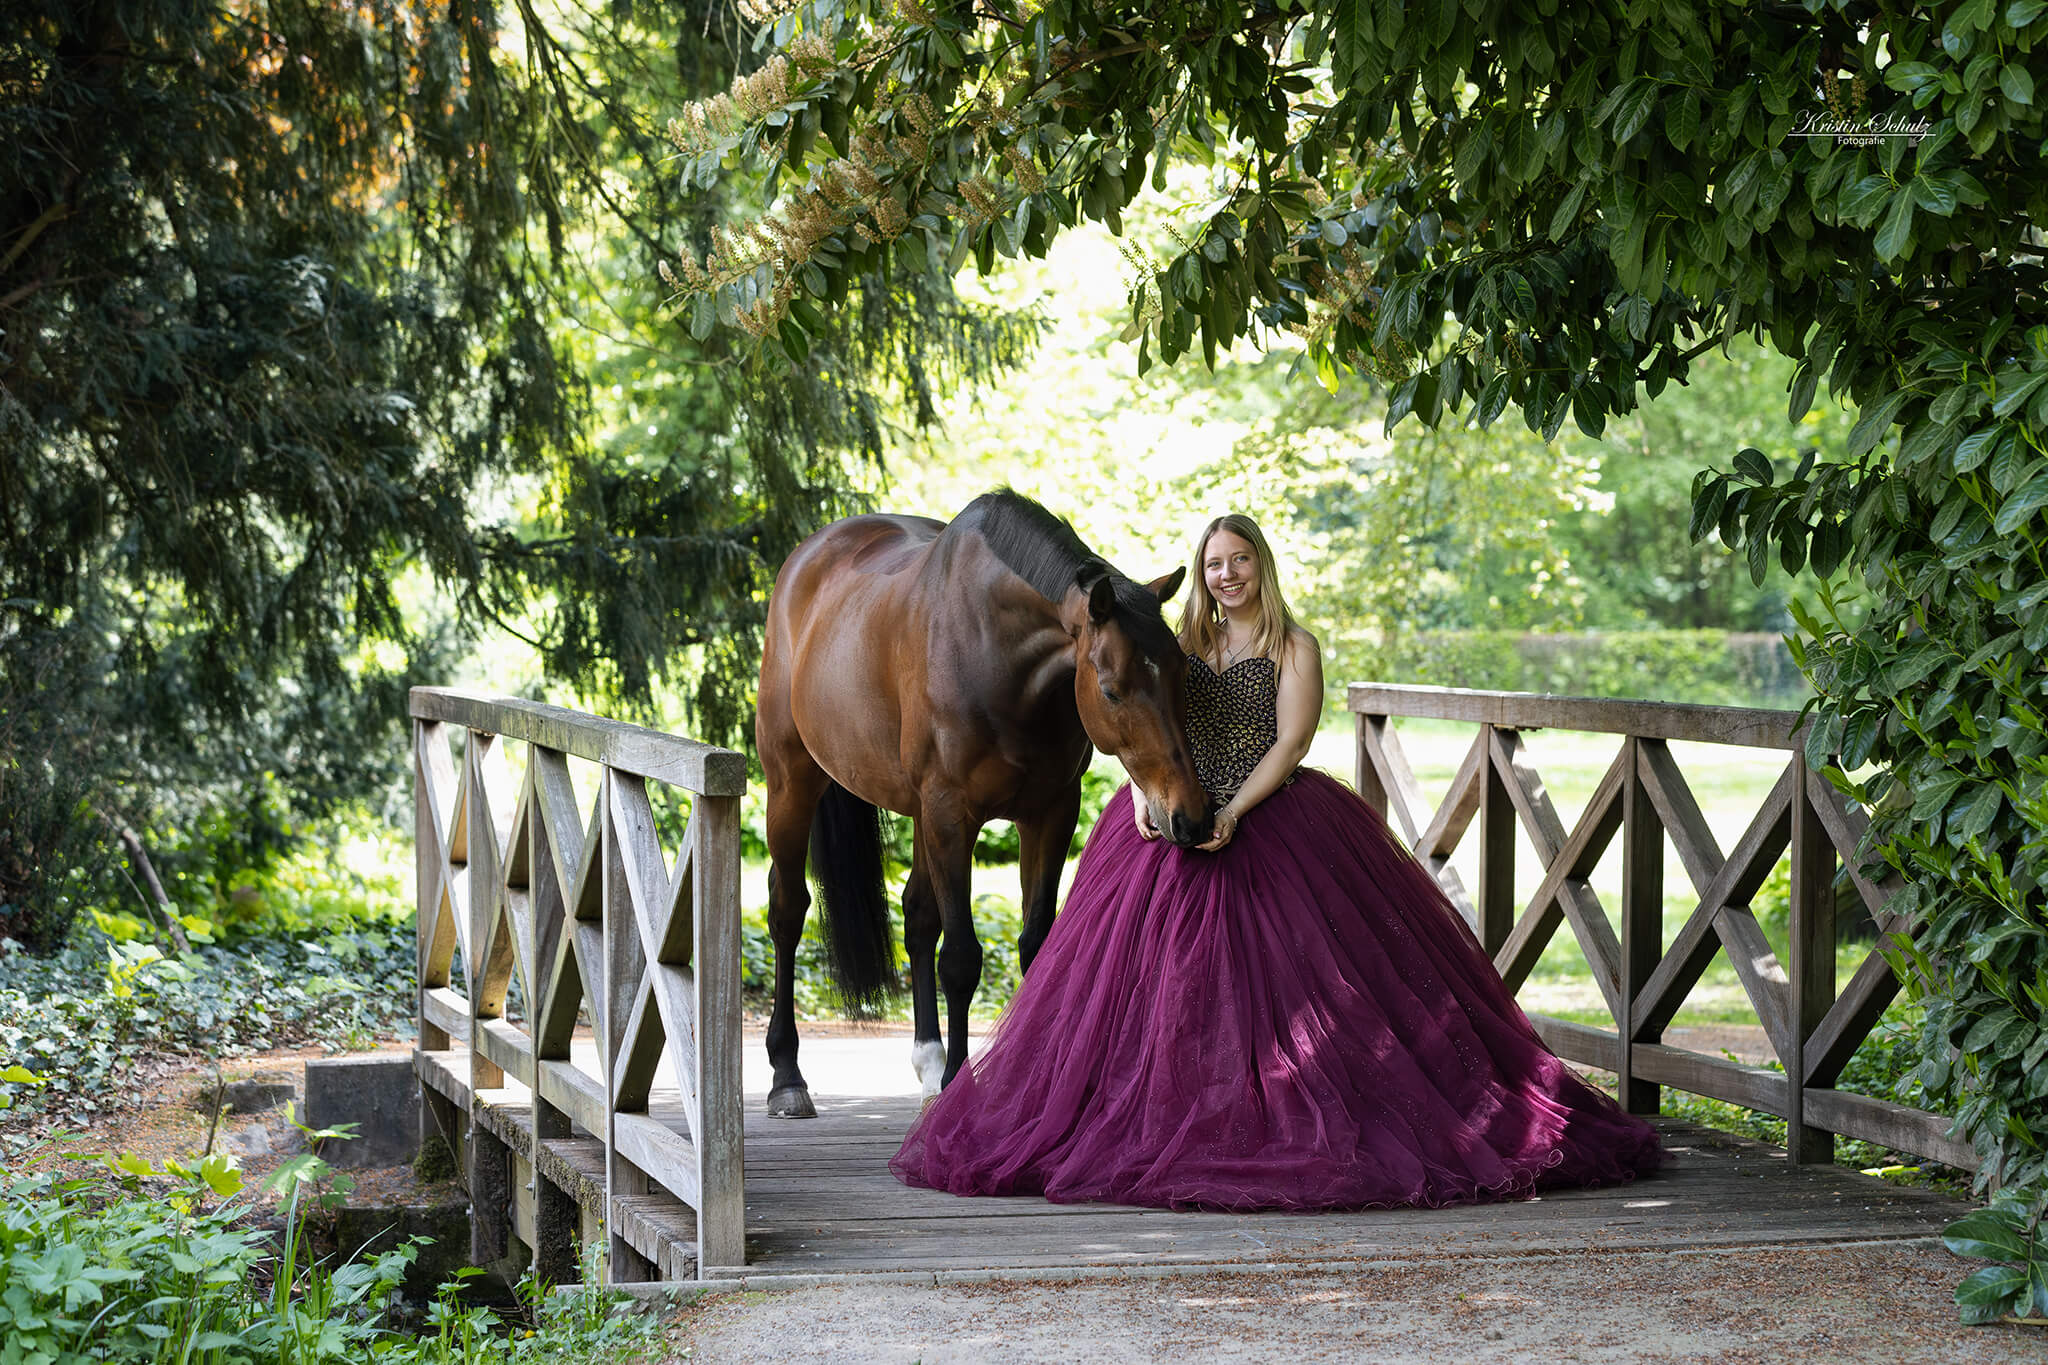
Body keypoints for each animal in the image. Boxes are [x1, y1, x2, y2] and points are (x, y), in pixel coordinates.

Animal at [755, 489, 1213, 1118]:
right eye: (1112, 690)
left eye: (1183, 677)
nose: (1190, 815)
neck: (995, 655)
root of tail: (809, 556)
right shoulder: (953, 817)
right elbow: (962, 959)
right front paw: (958, 1083)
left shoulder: (1048, 815)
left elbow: (1034, 946)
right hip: (792, 784)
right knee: (787, 910)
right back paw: (787, 1075)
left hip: (918, 814)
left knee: (917, 914)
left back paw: (926, 1061)